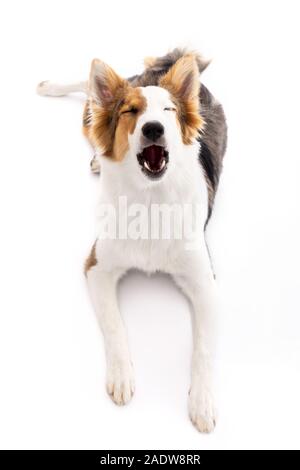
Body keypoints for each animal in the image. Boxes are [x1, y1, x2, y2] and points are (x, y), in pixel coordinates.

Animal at [37, 48, 227, 434]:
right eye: (130, 111)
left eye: (168, 110)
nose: (153, 128)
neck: (150, 199)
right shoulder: (96, 266)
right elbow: (115, 326)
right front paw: (121, 377)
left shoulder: (205, 284)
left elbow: (202, 349)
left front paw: (202, 402)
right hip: (91, 112)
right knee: (88, 93)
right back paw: (52, 88)